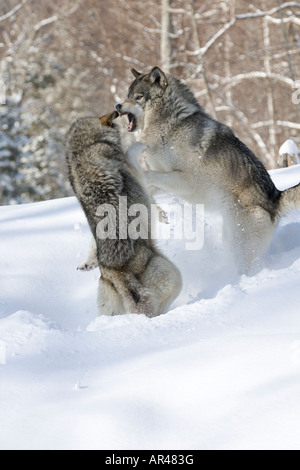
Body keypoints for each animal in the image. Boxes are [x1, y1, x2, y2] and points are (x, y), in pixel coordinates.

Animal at [65, 112, 182, 318]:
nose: (117, 110)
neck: (84, 148)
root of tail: (117, 273)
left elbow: (93, 242)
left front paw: (90, 261)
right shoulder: (135, 171)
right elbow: (134, 149)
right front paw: (144, 141)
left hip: (107, 311)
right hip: (174, 277)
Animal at [116, 66, 300, 272]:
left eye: (138, 97)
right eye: (127, 96)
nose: (117, 106)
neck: (170, 127)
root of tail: (276, 198)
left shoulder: (185, 181)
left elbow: (146, 174)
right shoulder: (169, 178)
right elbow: (149, 187)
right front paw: (160, 214)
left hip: (240, 244)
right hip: (229, 238)